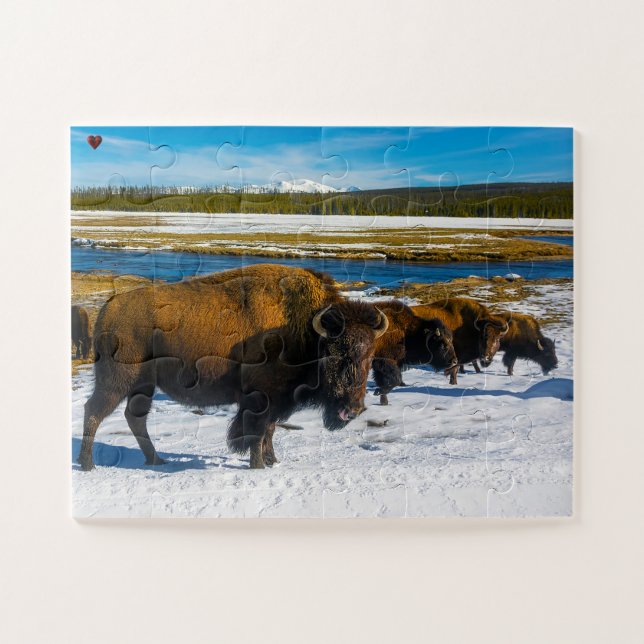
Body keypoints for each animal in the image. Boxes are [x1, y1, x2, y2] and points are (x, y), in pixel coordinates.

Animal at [77, 264, 389, 470]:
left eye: (369, 354)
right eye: (333, 353)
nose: (353, 409)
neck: (306, 330)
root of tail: (109, 307)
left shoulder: (276, 400)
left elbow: (269, 430)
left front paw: (272, 461)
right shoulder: (260, 400)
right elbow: (257, 432)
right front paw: (258, 466)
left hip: (143, 385)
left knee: (134, 417)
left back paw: (155, 459)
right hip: (117, 381)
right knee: (94, 411)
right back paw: (87, 464)